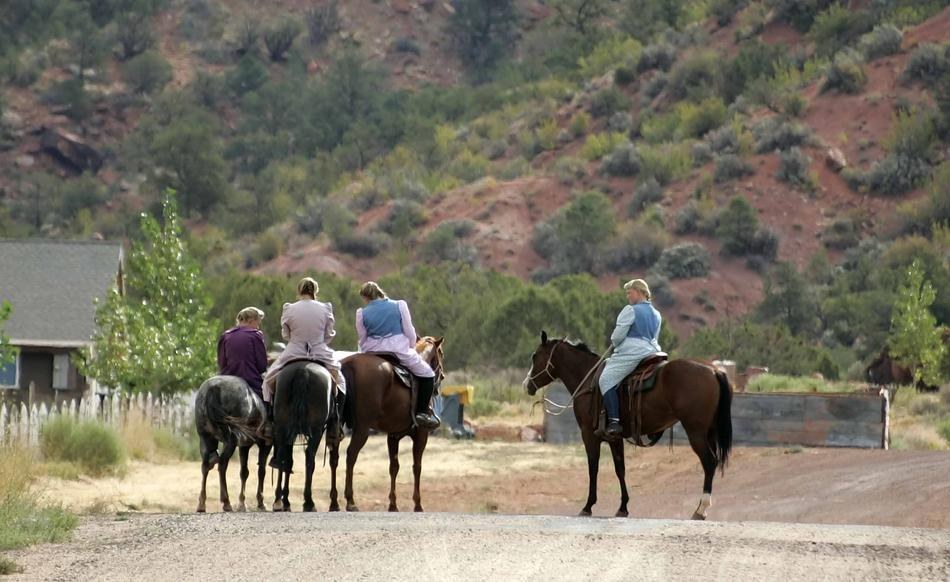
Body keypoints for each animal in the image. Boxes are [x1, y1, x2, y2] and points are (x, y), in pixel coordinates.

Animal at [194, 376, 274, 512]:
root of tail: (213, 388)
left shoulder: (244, 446)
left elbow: (244, 472)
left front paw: (242, 503)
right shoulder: (265, 445)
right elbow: (261, 471)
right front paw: (260, 502)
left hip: (205, 438)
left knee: (205, 466)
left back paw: (201, 504)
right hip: (231, 440)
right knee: (222, 465)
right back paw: (226, 502)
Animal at [272, 362, 334, 512]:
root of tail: (302, 370)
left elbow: (289, 462)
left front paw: (286, 500)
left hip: (282, 427)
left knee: (282, 456)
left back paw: (278, 501)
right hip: (316, 430)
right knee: (309, 457)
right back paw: (308, 502)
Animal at [328, 340, 446, 512]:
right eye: (441, 353)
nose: (442, 376)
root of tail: (349, 365)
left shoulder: (393, 436)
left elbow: (393, 467)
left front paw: (393, 504)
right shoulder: (421, 435)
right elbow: (417, 467)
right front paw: (417, 504)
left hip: (337, 425)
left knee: (334, 457)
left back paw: (334, 502)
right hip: (362, 429)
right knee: (351, 455)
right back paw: (350, 501)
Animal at [524, 334, 732, 520]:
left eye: (535, 356)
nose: (527, 385)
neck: (588, 380)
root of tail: (714, 371)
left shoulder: (589, 435)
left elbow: (593, 468)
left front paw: (588, 506)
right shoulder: (615, 437)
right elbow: (620, 469)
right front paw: (623, 507)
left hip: (696, 432)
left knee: (709, 462)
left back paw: (700, 509)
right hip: (709, 432)